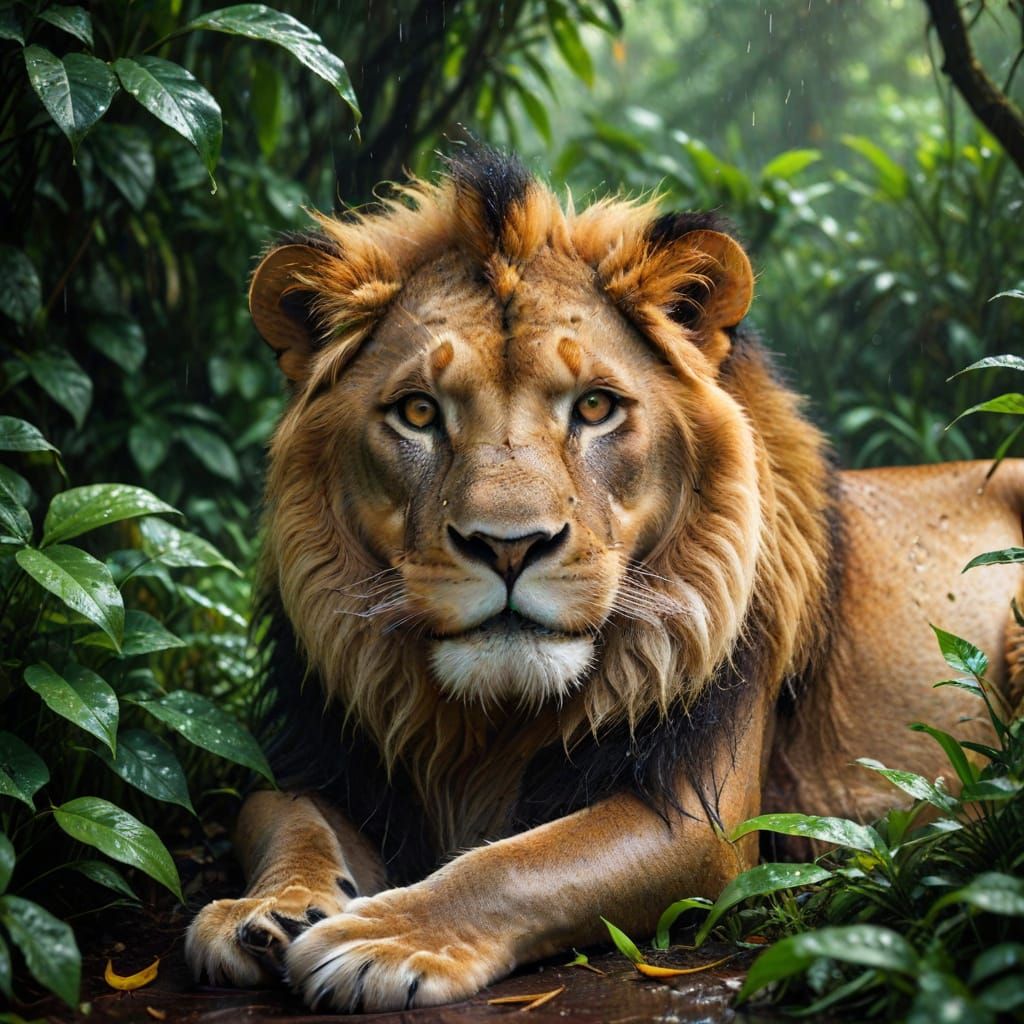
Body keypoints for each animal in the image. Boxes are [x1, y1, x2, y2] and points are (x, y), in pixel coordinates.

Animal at [185, 150, 1024, 1012]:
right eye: (418, 413)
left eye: (594, 407)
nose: (509, 547)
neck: (483, 728)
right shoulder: (313, 754)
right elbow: (286, 816)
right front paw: (267, 909)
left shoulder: (702, 816)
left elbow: (520, 861)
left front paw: (382, 938)